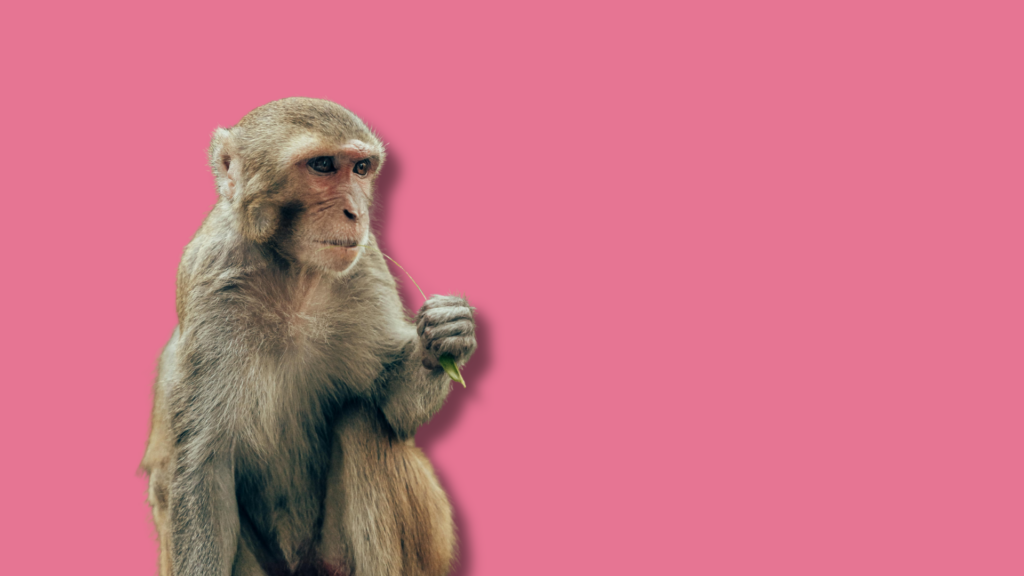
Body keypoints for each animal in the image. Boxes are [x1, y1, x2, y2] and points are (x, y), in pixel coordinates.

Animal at [140, 97, 476, 576]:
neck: (292, 271)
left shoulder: (366, 265)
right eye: (322, 165)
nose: (356, 213)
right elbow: (203, 464)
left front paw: (444, 337)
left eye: (361, 168)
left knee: (362, 420)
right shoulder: (210, 279)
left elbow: (395, 408)